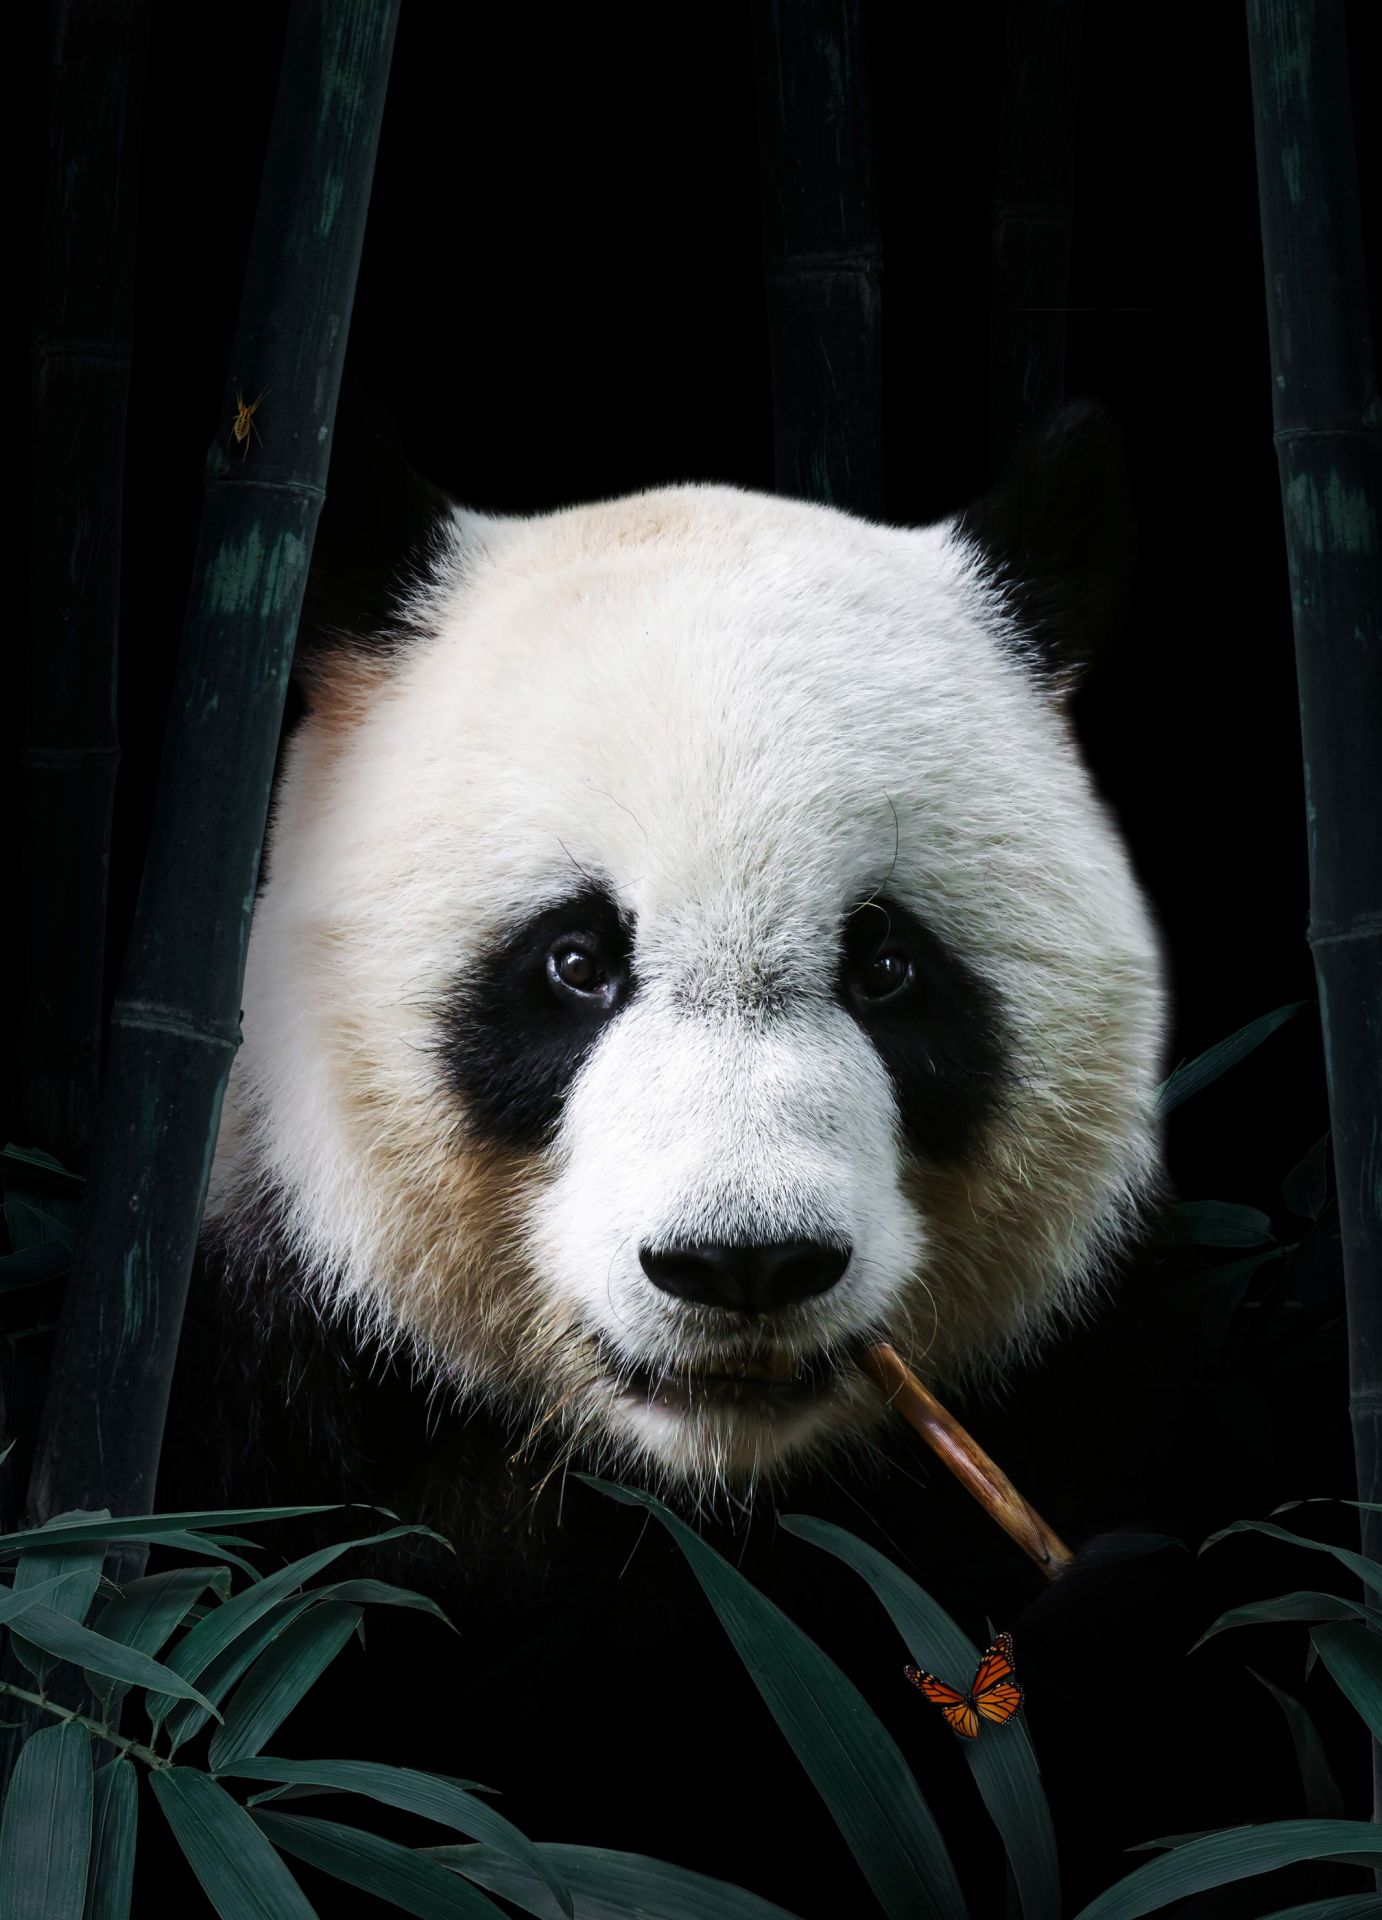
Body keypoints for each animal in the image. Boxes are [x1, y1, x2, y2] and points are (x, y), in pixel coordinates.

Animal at [165, 400, 1197, 1916]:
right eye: (573, 961)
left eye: (886, 964)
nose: (742, 1263)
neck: (697, 1486)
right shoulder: (254, 1378)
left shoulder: (1111, 1362)